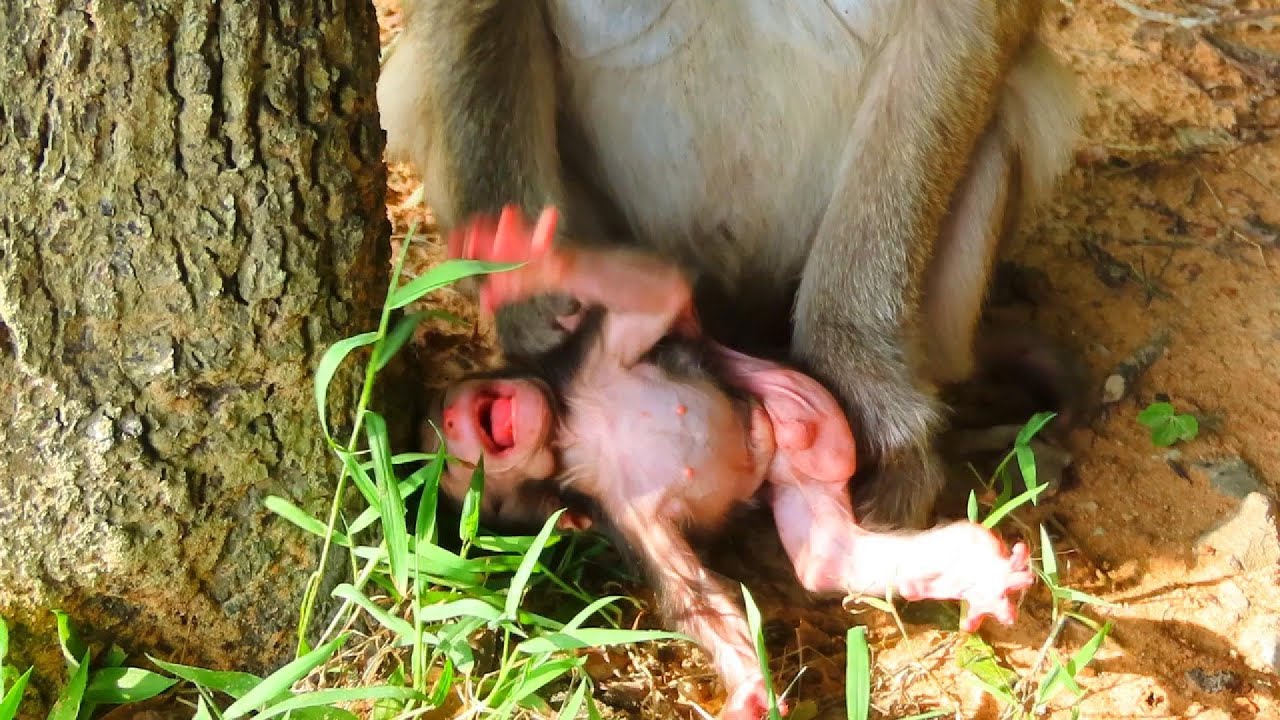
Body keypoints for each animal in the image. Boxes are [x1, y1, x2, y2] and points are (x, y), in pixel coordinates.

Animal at [421, 206, 1035, 719]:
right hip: (800, 474)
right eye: (460, 477)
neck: (571, 438)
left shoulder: (589, 362)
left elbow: (658, 294)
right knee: (828, 557)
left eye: (447, 446)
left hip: (805, 413)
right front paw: (750, 687)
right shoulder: (628, 518)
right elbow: (694, 597)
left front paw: (527, 261)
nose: (451, 420)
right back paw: (971, 568)